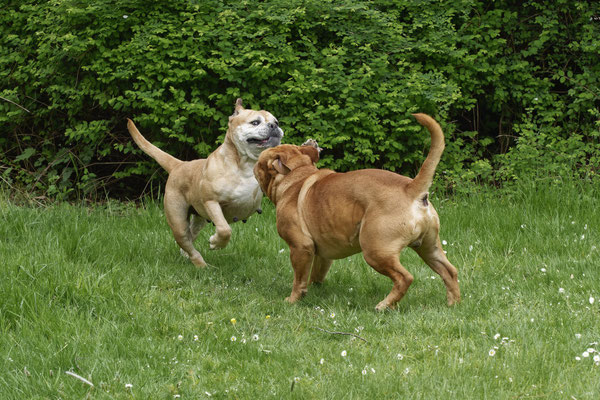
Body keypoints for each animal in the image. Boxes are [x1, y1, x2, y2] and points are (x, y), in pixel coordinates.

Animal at [126, 99, 284, 268]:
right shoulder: (212, 202)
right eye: (255, 122)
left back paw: (186, 256)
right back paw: (200, 264)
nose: (274, 126)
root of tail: (178, 165)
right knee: (186, 241)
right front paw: (216, 243)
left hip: (198, 220)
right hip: (178, 221)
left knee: (190, 238)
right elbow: (224, 229)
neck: (245, 164)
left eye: (276, 122)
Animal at [253, 114, 460, 310]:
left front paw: (293, 299)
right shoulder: (321, 253)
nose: (254, 165)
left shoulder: (300, 247)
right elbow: (316, 274)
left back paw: (384, 305)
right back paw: (453, 304)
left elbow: (299, 279)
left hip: (376, 251)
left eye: (260, 163)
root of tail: (411, 188)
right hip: (429, 247)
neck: (298, 175)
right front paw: (314, 289)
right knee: (450, 271)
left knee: (404, 278)